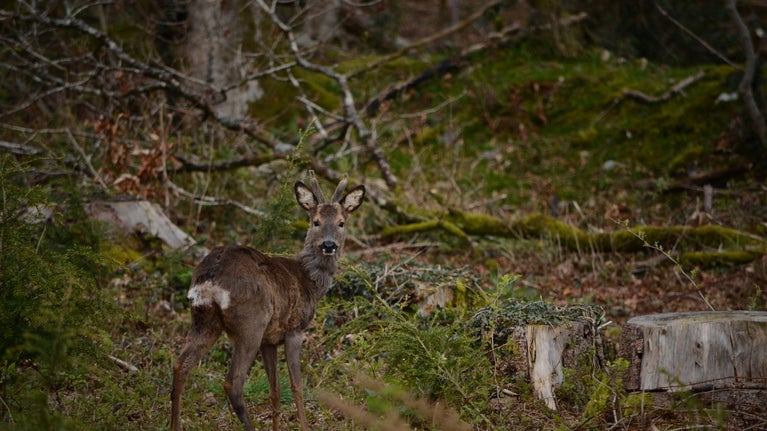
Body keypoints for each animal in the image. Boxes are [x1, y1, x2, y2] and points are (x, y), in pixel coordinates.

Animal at [170, 171, 365, 431]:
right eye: (315, 222)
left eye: (341, 222)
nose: (329, 245)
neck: (309, 281)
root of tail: (210, 278)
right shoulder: (294, 328)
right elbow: (296, 386)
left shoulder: (269, 340)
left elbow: (275, 389)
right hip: (250, 323)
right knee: (233, 383)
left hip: (204, 319)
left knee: (181, 365)